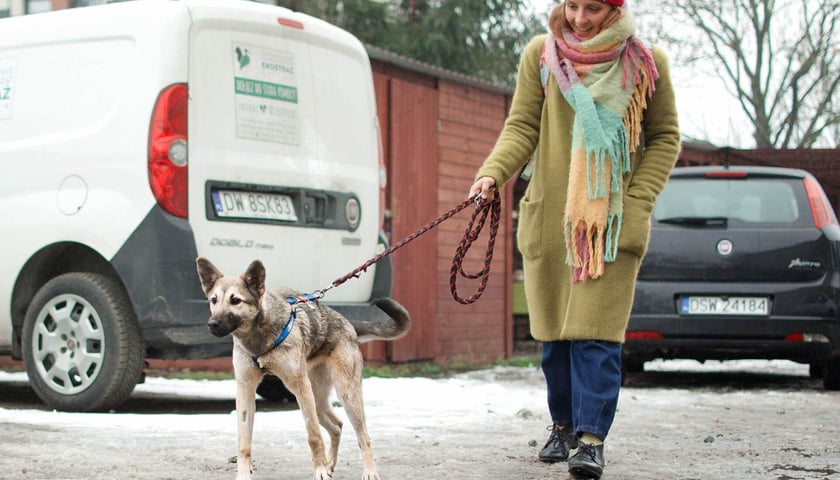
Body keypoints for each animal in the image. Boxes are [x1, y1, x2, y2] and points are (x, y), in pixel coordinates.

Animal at [194, 258, 410, 480]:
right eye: (213, 300)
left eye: (235, 300)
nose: (212, 324)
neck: (259, 339)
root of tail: (349, 324)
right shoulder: (245, 390)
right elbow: (244, 443)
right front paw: (244, 475)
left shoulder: (300, 387)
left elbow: (314, 435)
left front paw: (320, 470)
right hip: (317, 399)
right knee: (337, 426)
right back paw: (331, 463)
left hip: (343, 396)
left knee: (363, 435)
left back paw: (368, 471)